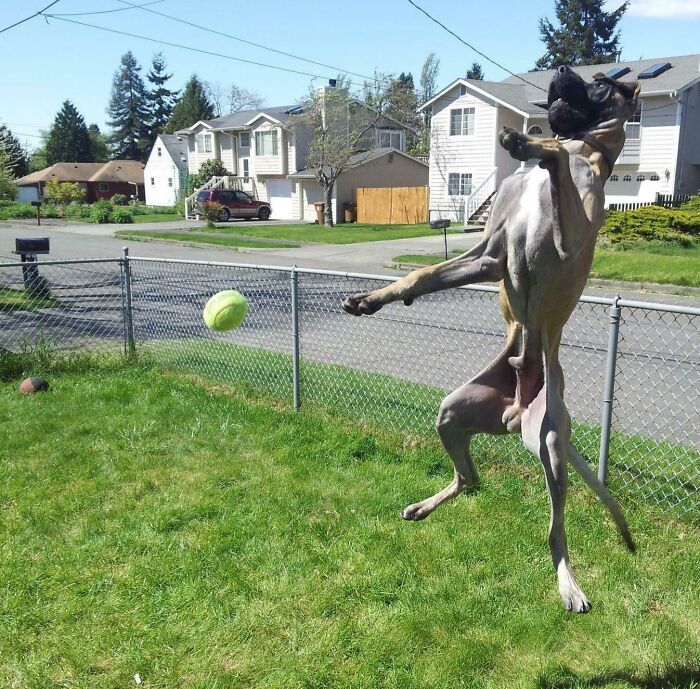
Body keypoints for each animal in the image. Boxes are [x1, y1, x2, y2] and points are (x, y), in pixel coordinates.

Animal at [342, 67, 644, 612]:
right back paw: (426, 506)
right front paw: (373, 298)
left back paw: (568, 583)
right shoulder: (489, 254)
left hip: (549, 441)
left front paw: (531, 142)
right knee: (471, 478)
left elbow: (557, 163)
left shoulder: (570, 238)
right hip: (453, 412)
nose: (561, 72)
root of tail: (516, 413)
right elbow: (421, 274)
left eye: (601, 82)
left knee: (555, 530)